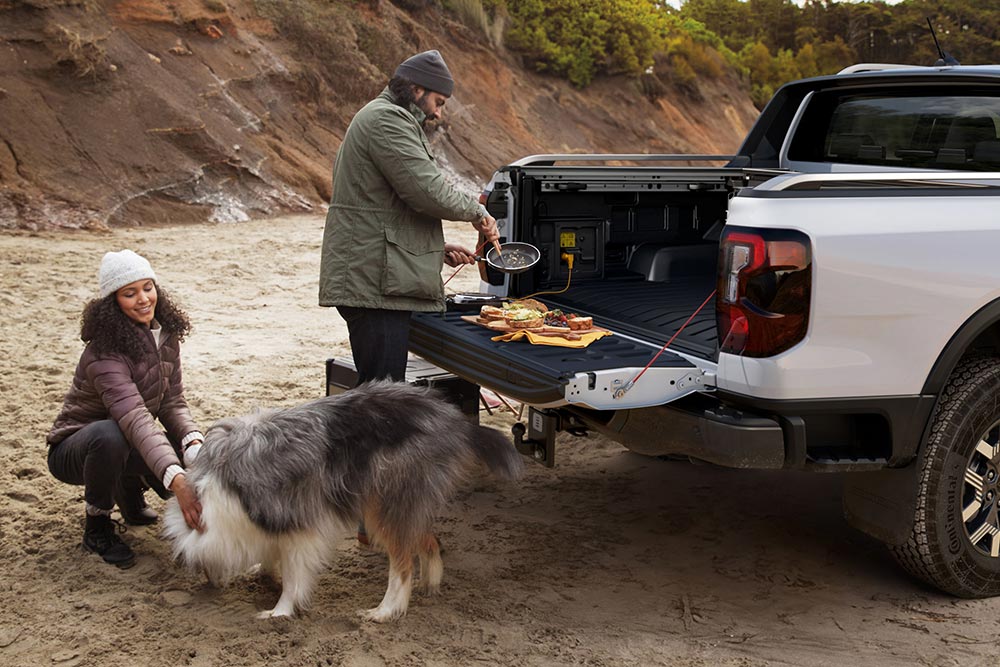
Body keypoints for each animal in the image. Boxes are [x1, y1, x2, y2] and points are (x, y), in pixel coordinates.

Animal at [162, 380, 524, 620]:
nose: (211, 585)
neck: (219, 494)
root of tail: (456, 420)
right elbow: (271, 556)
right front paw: (264, 573)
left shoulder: (298, 527)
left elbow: (293, 577)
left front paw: (279, 611)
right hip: (402, 503)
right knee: (428, 540)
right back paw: (429, 583)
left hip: (384, 505)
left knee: (402, 564)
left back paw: (384, 611)